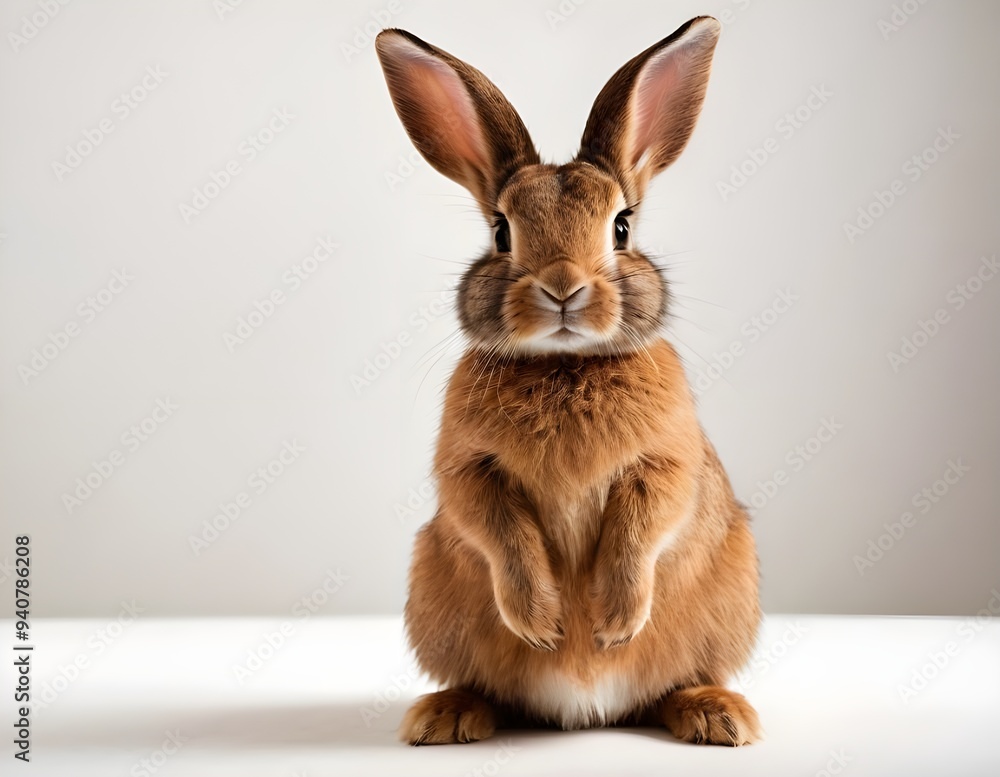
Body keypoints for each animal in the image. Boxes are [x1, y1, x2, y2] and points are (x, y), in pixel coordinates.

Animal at [375, 15, 762, 747]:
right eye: (501, 231)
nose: (562, 287)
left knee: (678, 681)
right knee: (488, 687)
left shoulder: (667, 462)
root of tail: (588, 712)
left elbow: (644, 526)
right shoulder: (470, 470)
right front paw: (544, 624)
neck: (565, 364)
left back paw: (716, 715)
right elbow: (499, 530)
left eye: (622, 226)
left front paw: (611, 623)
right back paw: (447, 715)